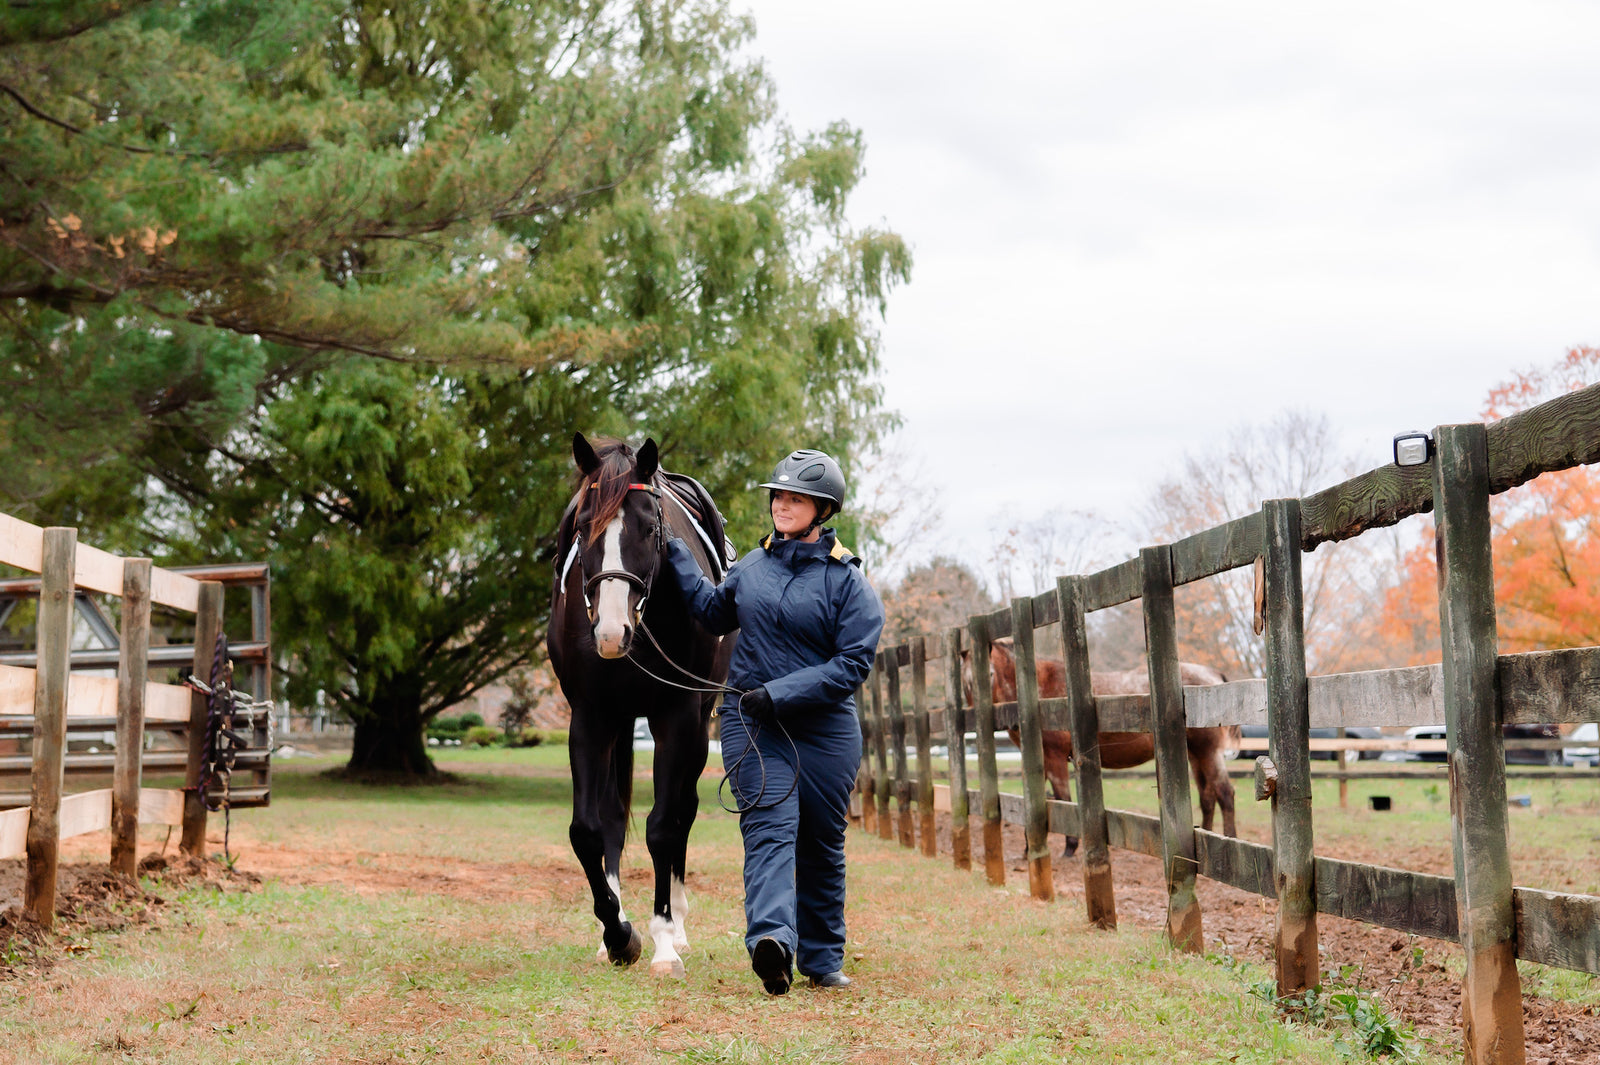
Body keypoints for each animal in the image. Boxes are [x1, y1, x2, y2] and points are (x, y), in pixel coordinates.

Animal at [547, 428, 729, 972]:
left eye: (650, 529)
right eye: (582, 527)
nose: (610, 632)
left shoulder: (677, 718)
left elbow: (664, 827)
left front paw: (664, 939)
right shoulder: (590, 716)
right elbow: (588, 829)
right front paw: (617, 932)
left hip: (700, 723)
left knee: (684, 811)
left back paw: (679, 927)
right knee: (611, 816)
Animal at [960, 639, 1235, 857]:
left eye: (990, 674)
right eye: (966, 682)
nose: (973, 720)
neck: (1041, 692)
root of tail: (1213, 675)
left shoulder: (1055, 758)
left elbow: (1063, 799)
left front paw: (1070, 846)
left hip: (1208, 753)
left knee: (1224, 793)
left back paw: (1230, 840)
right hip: (1195, 755)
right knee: (1208, 797)